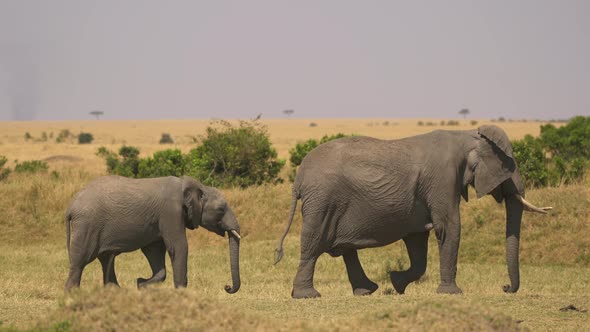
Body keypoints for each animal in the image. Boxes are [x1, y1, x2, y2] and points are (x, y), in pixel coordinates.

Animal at [65, 174, 240, 294]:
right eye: (221, 210)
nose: (227, 286)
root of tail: (70, 207)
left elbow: (154, 251)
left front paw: (141, 284)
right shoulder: (171, 213)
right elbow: (178, 247)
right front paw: (181, 294)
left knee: (106, 259)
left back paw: (117, 292)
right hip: (87, 225)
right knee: (80, 261)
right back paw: (73, 295)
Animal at [278, 126, 556, 298]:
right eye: (510, 167)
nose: (505, 287)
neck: (467, 135)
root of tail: (298, 179)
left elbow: (417, 241)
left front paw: (397, 283)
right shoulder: (444, 179)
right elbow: (449, 227)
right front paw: (452, 294)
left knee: (346, 249)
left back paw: (367, 290)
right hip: (322, 202)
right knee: (313, 245)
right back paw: (307, 296)